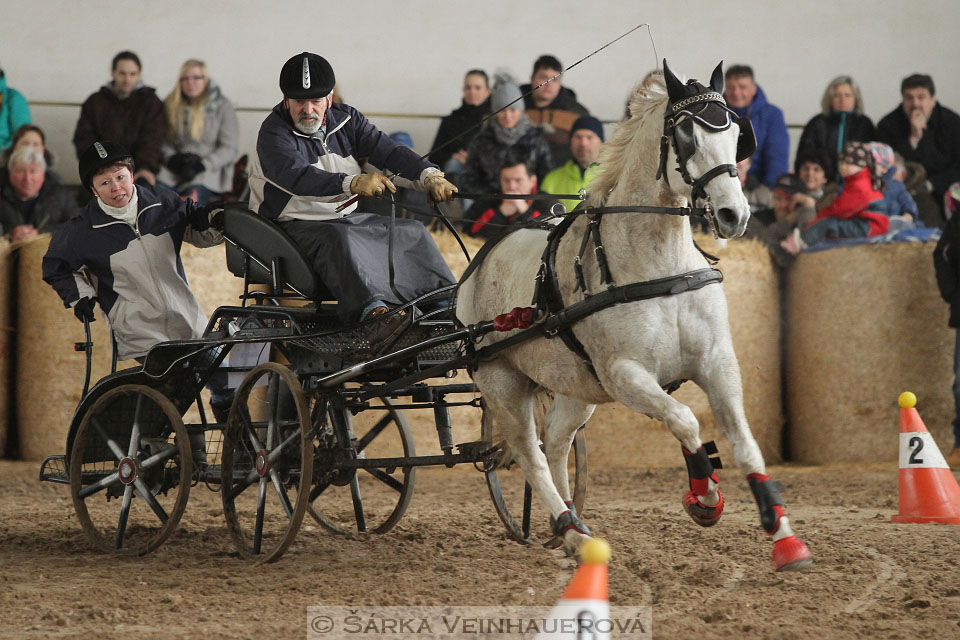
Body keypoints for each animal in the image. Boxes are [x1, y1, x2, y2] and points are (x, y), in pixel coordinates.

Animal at [456, 61, 808, 568]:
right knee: (530, 453)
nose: (733, 214)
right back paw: (571, 531)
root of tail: (474, 268)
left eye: (738, 133)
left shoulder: (717, 361)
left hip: (576, 385)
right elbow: (685, 420)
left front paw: (783, 535)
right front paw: (704, 498)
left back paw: (572, 527)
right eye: (686, 135)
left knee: (556, 442)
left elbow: (745, 445)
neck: (661, 267)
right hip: (502, 381)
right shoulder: (625, 374)